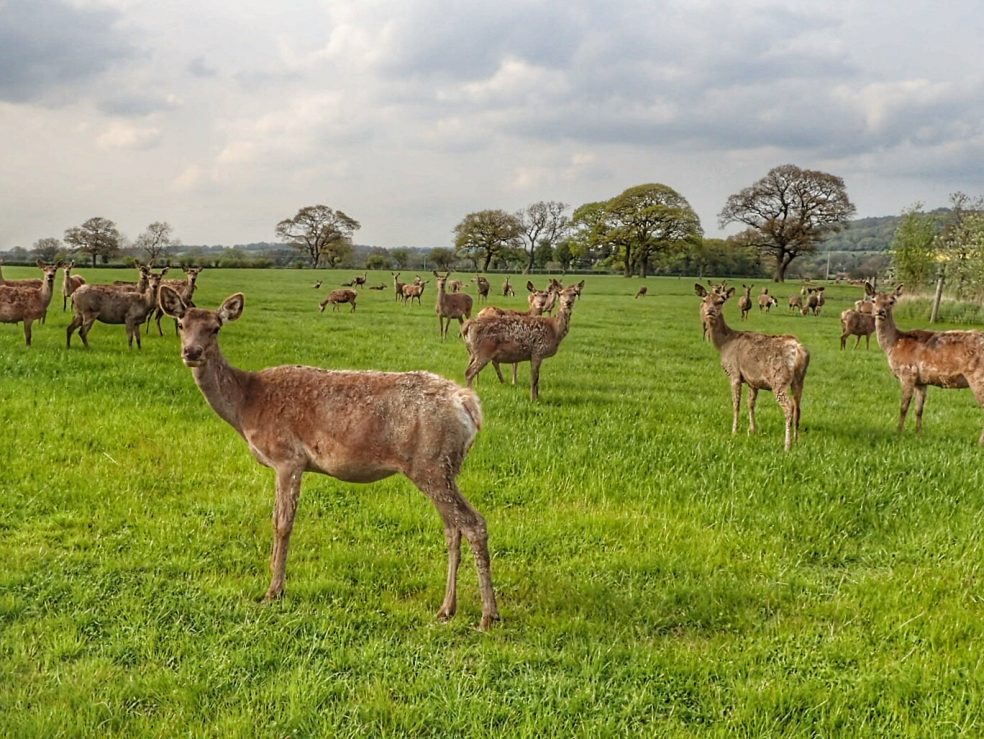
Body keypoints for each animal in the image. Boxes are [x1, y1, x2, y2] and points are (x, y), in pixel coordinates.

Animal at [160, 284, 504, 632]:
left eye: (215, 327)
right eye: (181, 324)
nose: (192, 352)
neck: (246, 406)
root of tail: (469, 406)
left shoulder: (287, 458)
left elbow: (282, 523)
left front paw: (273, 590)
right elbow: (276, 519)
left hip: (430, 463)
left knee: (473, 523)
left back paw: (488, 615)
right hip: (442, 468)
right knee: (452, 528)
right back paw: (447, 608)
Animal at [692, 284, 808, 450]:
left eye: (721, 301)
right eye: (704, 300)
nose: (710, 311)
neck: (724, 343)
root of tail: (799, 351)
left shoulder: (734, 372)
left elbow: (736, 403)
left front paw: (734, 430)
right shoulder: (753, 380)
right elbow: (751, 404)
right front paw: (752, 430)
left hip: (779, 379)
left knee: (789, 408)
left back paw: (787, 445)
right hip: (799, 380)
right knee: (798, 407)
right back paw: (797, 440)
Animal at [868, 284, 984, 446]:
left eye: (891, 302)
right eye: (873, 300)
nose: (880, 312)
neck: (894, 343)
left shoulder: (907, 373)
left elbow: (903, 407)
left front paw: (898, 432)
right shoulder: (921, 381)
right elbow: (919, 409)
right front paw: (919, 433)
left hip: (978, 377)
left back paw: (980, 443)